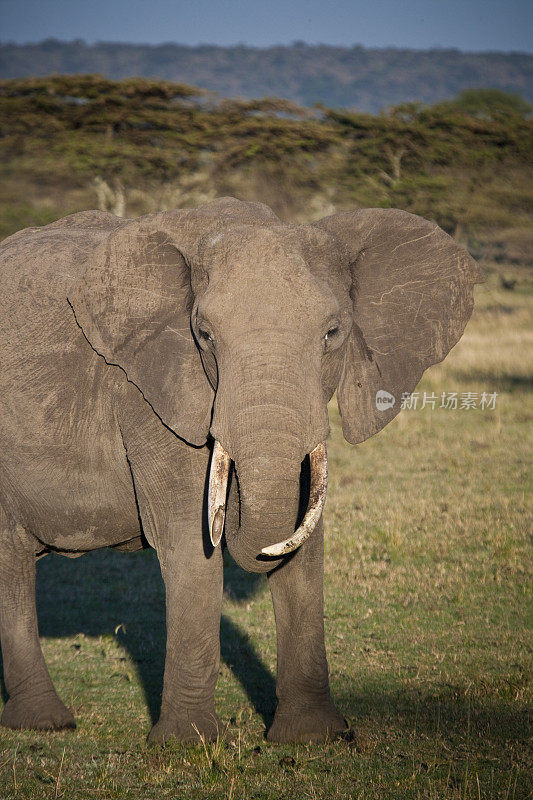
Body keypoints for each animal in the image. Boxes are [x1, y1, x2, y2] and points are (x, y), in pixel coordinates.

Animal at [0, 198, 482, 744]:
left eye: (333, 334)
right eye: (205, 336)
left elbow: (305, 538)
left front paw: (313, 738)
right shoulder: (150, 396)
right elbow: (190, 545)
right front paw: (185, 744)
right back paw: (46, 724)